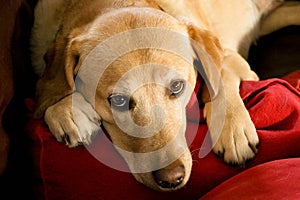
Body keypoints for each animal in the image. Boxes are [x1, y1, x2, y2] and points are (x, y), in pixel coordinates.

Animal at [29, 0, 300, 191]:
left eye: (177, 86)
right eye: (118, 100)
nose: (172, 179)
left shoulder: (231, 58)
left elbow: (218, 77)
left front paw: (233, 130)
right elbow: (50, 89)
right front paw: (65, 110)